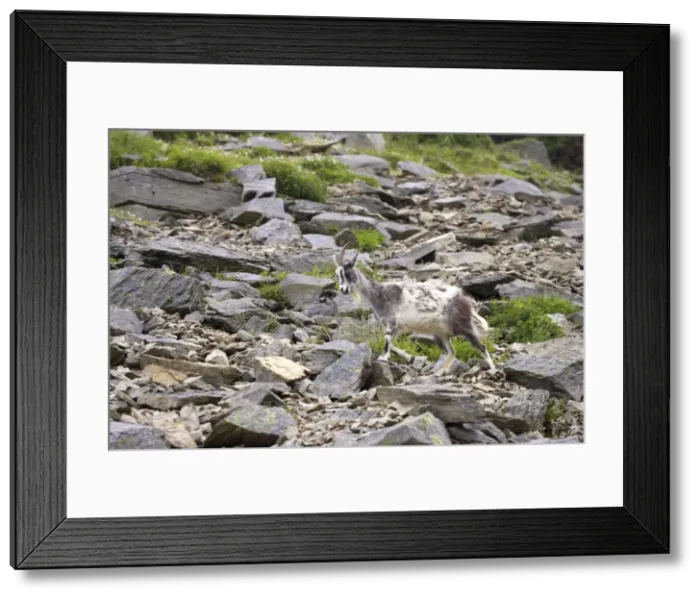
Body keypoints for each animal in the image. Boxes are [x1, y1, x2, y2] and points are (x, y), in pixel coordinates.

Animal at [333, 244, 496, 375]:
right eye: (338, 274)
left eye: (348, 273)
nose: (343, 290)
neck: (377, 293)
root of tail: (463, 300)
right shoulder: (396, 327)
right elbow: (391, 344)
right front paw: (408, 357)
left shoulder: (392, 322)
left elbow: (386, 342)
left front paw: (384, 358)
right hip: (441, 334)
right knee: (452, 352)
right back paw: (441, 372)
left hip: (464, 326)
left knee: (481, 347)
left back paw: (493, 370)